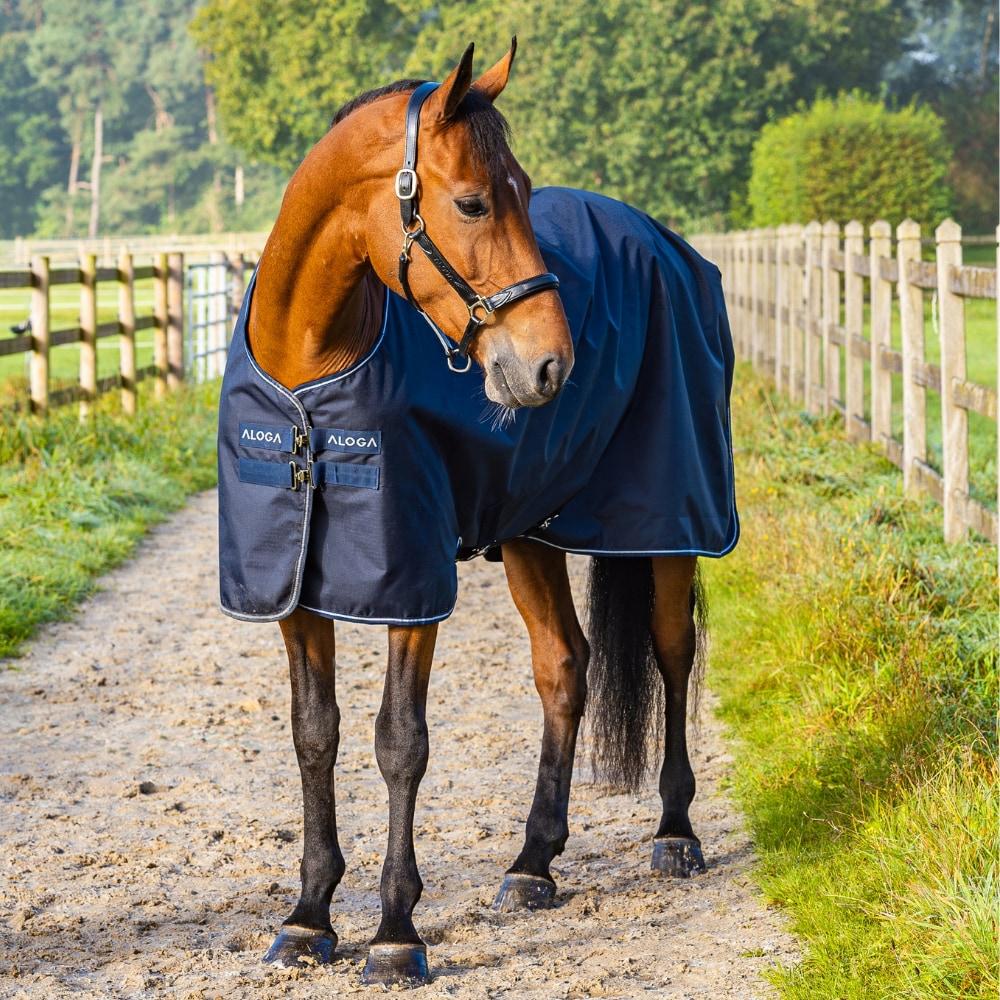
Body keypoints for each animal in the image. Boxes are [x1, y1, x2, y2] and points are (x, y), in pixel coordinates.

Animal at [217, 37, 736, 984]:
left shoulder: (408, 582)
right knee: (564, 668)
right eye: (472, 200)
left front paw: (395, 933)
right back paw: (533, 864)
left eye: (525, 190)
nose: (550, 364)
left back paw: (675, 833)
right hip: (531, 530)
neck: (313, 373)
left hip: (673, 521)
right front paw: (309, 917)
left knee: (672, 652)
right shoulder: (294, 587)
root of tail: (663, 241)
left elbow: (399, 741)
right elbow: (316, 734)